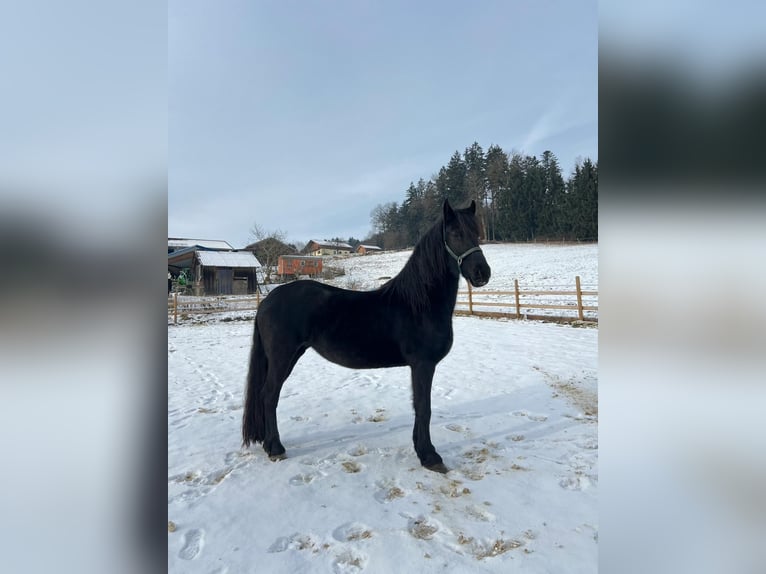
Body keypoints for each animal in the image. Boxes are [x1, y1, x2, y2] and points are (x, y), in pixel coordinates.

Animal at [242, 199, 491, 473]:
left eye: (477, 232)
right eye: (455, 233)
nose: (482, 273)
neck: (420, 303)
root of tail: (267, 302)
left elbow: (419, 407)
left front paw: (421, 449)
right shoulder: (423, 364)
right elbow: (424, 408)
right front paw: (430, 456)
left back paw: (269, 444)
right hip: (282, 356)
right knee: (269, 395)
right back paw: (276, 448)